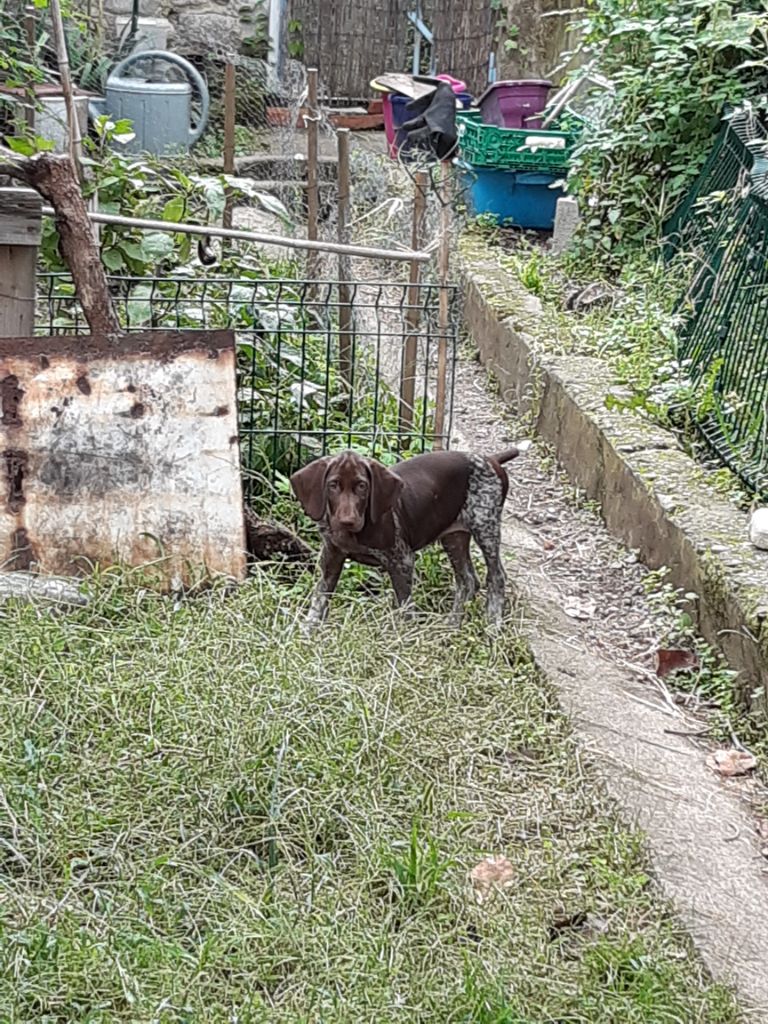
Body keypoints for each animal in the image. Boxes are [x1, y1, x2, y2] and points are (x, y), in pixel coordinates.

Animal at [290, 447, 519, 629]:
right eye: (333, 485)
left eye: (362, 486)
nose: (347, 521)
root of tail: (490, 459)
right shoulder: (331, 557)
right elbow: (320, 596)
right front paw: (308, 631)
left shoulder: (402, 560)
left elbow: (405, 607)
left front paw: (404, 638)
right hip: (454, 536)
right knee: (468, 580)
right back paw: (452, 625)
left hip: (485, 526)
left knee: (496, 577)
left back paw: (493, 625)